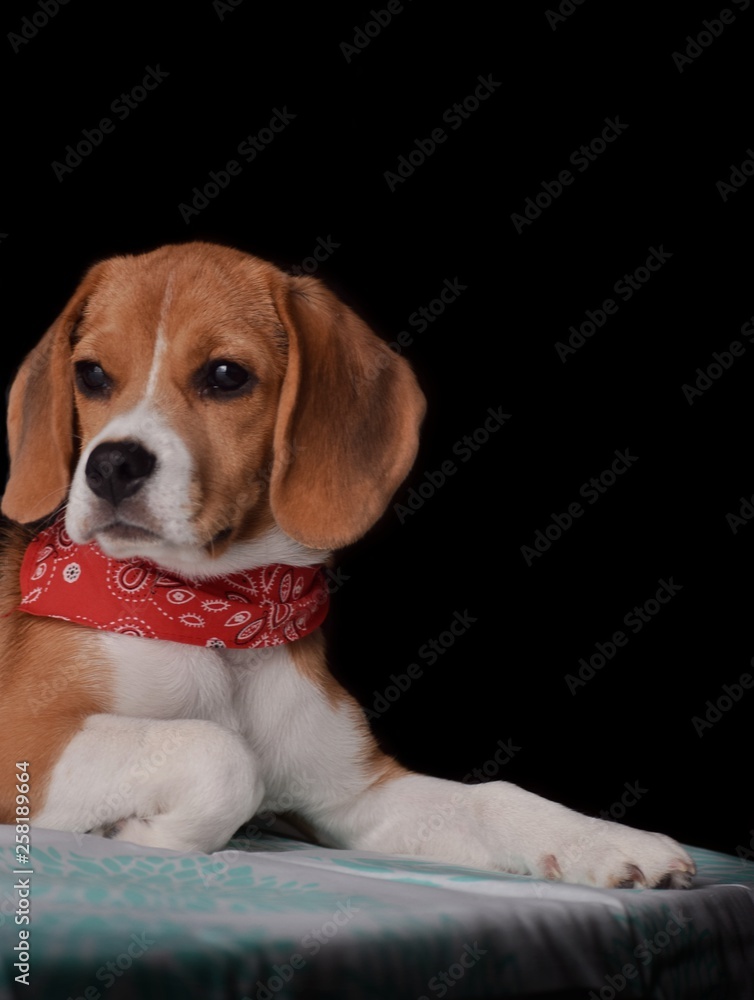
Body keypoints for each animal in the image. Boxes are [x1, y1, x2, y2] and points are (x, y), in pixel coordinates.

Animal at [0, 244, 692, 892]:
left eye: (226, 375)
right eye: (91, 375)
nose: (111, 466)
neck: (223, 617)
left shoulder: (355, 794)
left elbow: (492, 797)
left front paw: (601, 840)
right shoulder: (27, 737)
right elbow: (222, 753)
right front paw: (144, 833)